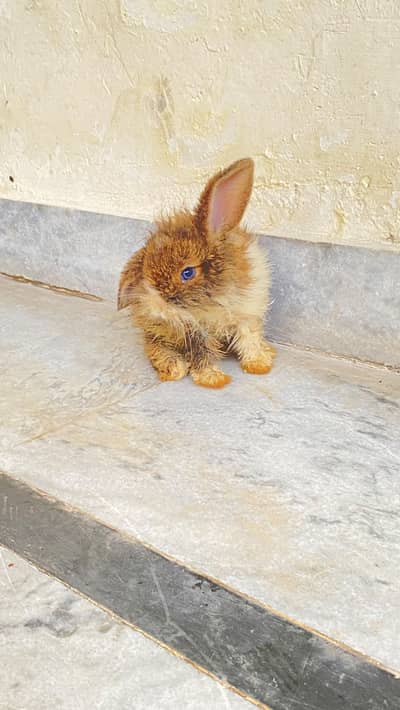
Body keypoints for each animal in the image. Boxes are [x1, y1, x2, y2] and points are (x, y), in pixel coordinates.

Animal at [118, 158, 275, 388]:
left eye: (188, 273)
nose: (159, 308)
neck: (217, 299)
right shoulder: (194, 333)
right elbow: (203, 356)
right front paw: (214, 380)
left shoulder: (247, 317)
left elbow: (250, 342)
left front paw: (259, 365)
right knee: (155, 348)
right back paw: (172, 369)